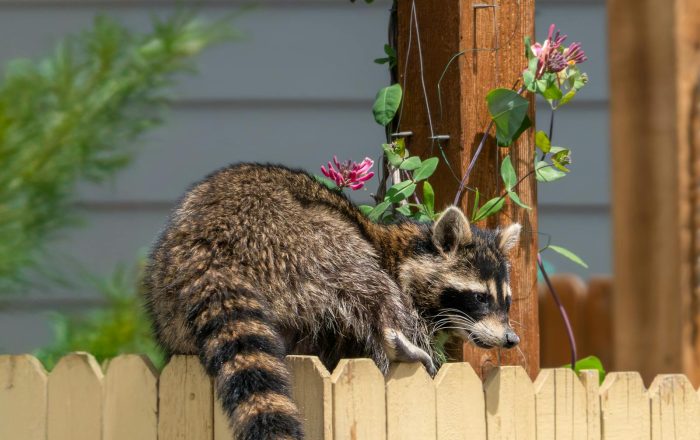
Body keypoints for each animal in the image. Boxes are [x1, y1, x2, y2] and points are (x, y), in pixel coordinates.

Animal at [143, 163, 521, 440]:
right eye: (479, 298)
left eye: (506, 302)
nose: (511, 339)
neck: (405, 252)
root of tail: (207, 244)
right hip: (298, 236)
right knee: (363, 276)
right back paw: (392, 335)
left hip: (167, 298)